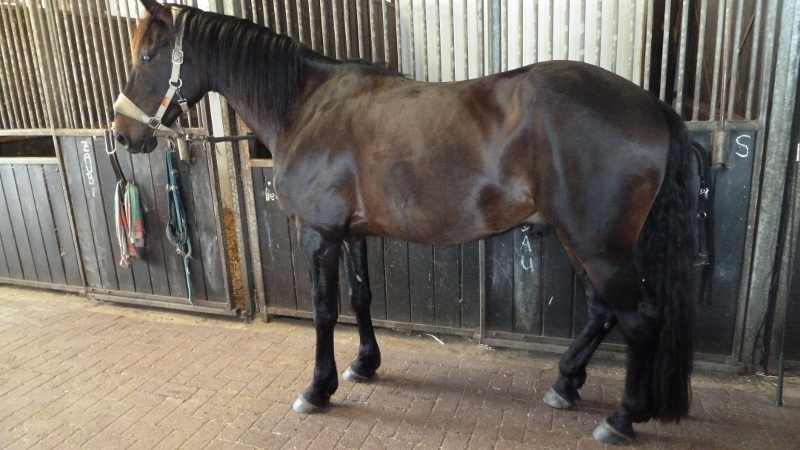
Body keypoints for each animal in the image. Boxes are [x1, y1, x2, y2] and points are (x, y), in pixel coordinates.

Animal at [113, 1, 696, 444]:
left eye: (149, 54)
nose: (122, 134)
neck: (307, 105)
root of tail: (651, 107)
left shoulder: (318, 237)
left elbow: (325, 312)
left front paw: (318, 388)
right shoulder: (352, 234)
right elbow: (361, 298)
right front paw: (365, 365)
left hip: (598, 246)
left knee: (638, 318)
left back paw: (622, 417)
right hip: (590, 244)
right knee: (603, 313)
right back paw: (566, 383)